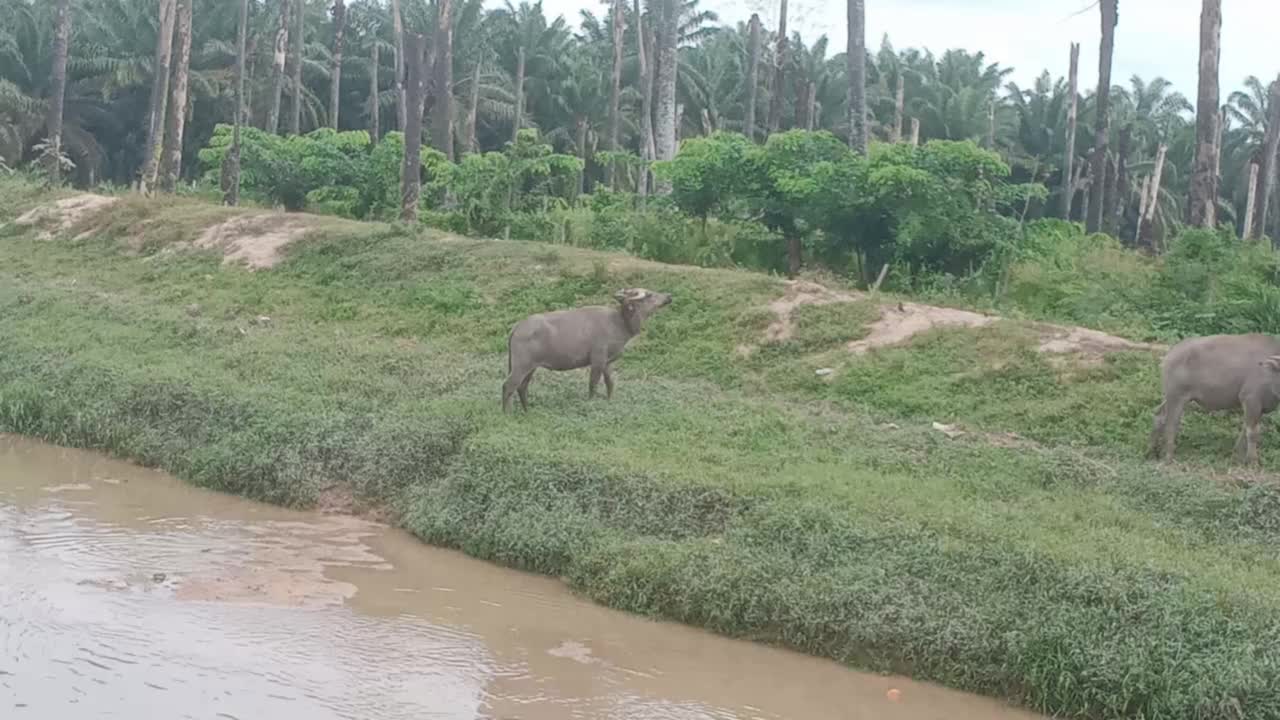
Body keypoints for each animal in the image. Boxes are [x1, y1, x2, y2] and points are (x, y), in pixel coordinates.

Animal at [1152, 333, 1280, 461]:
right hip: (1176, 397)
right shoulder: (1251, 399)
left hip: (1173, 397)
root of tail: (1170, 354)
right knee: (1171, 423)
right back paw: (1168, 457)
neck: (1269, 373)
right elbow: (1252, 432)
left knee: (1159, 416)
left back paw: (1152, 451)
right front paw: (1252, 460)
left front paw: (1238, 453)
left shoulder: (1260, 407)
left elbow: (1245, 428)